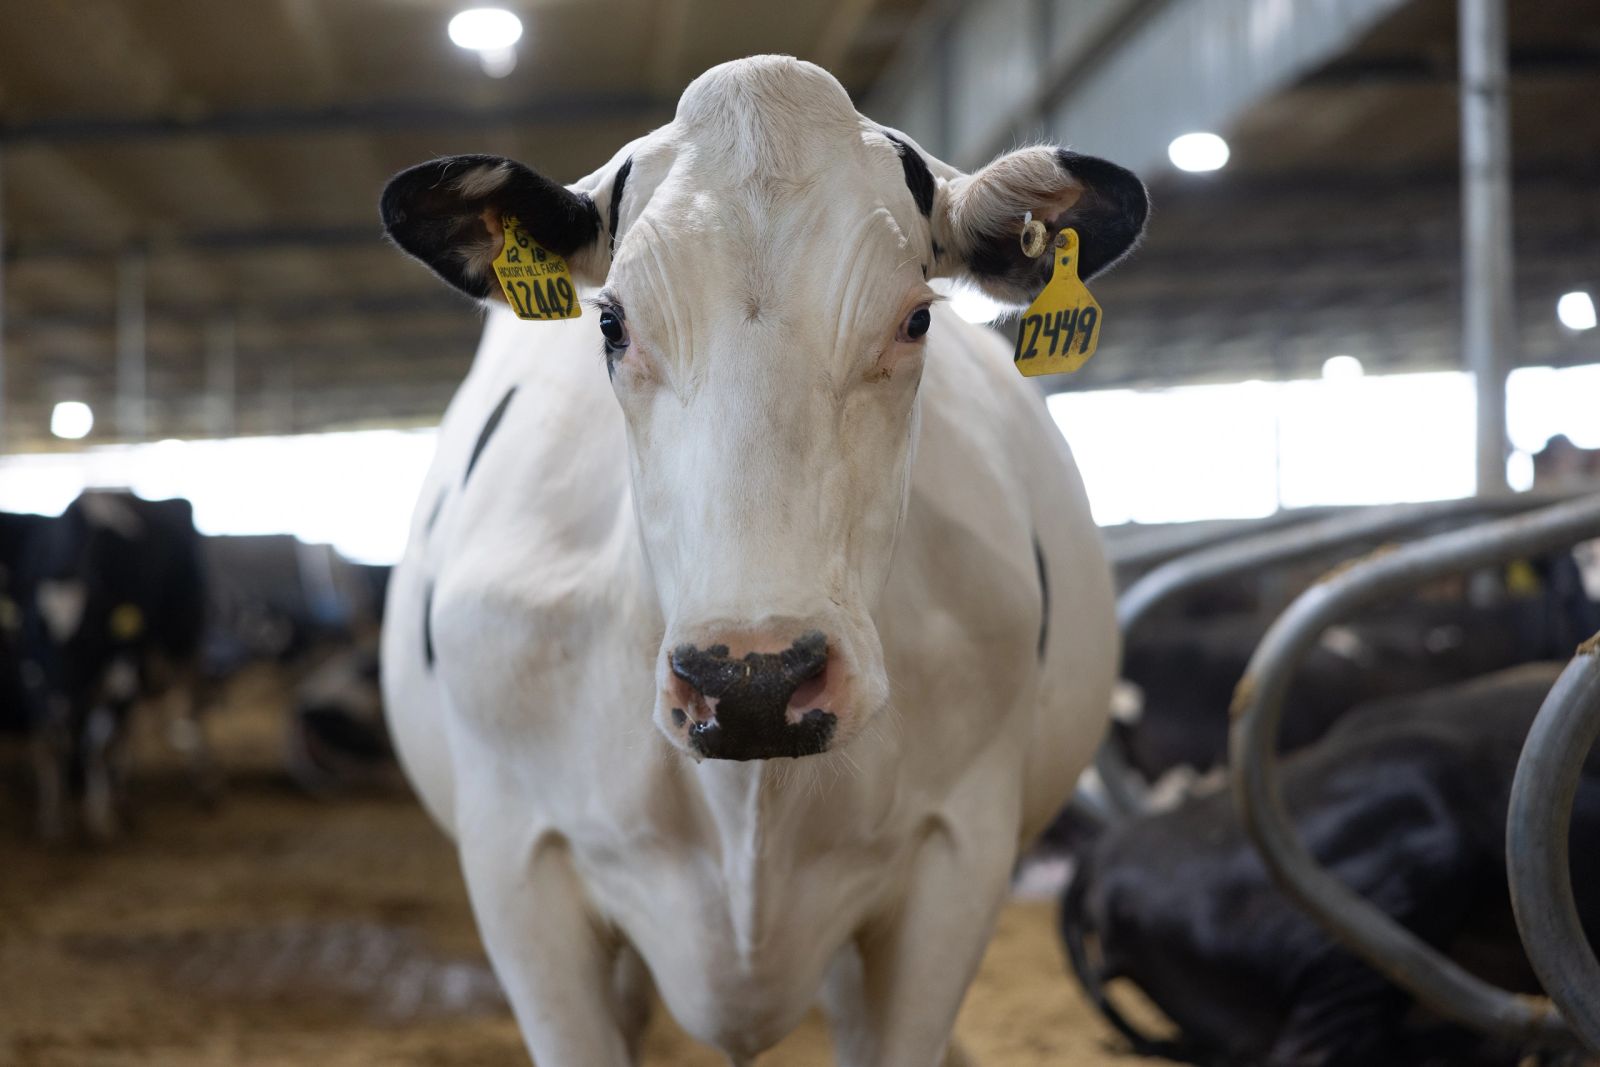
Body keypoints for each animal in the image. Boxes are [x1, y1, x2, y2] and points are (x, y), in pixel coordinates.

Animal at [13, 491, 212, 840]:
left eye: (88, 634)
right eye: (37, 629)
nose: (67, 704)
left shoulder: (124, 665)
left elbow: (97, 742)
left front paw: (99, 822)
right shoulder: (34, 672)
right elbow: (49, 740)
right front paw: (52, 821)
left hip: (184, 641)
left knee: (189, 706)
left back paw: (199, 785)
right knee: (128, 729)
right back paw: (124, 793)